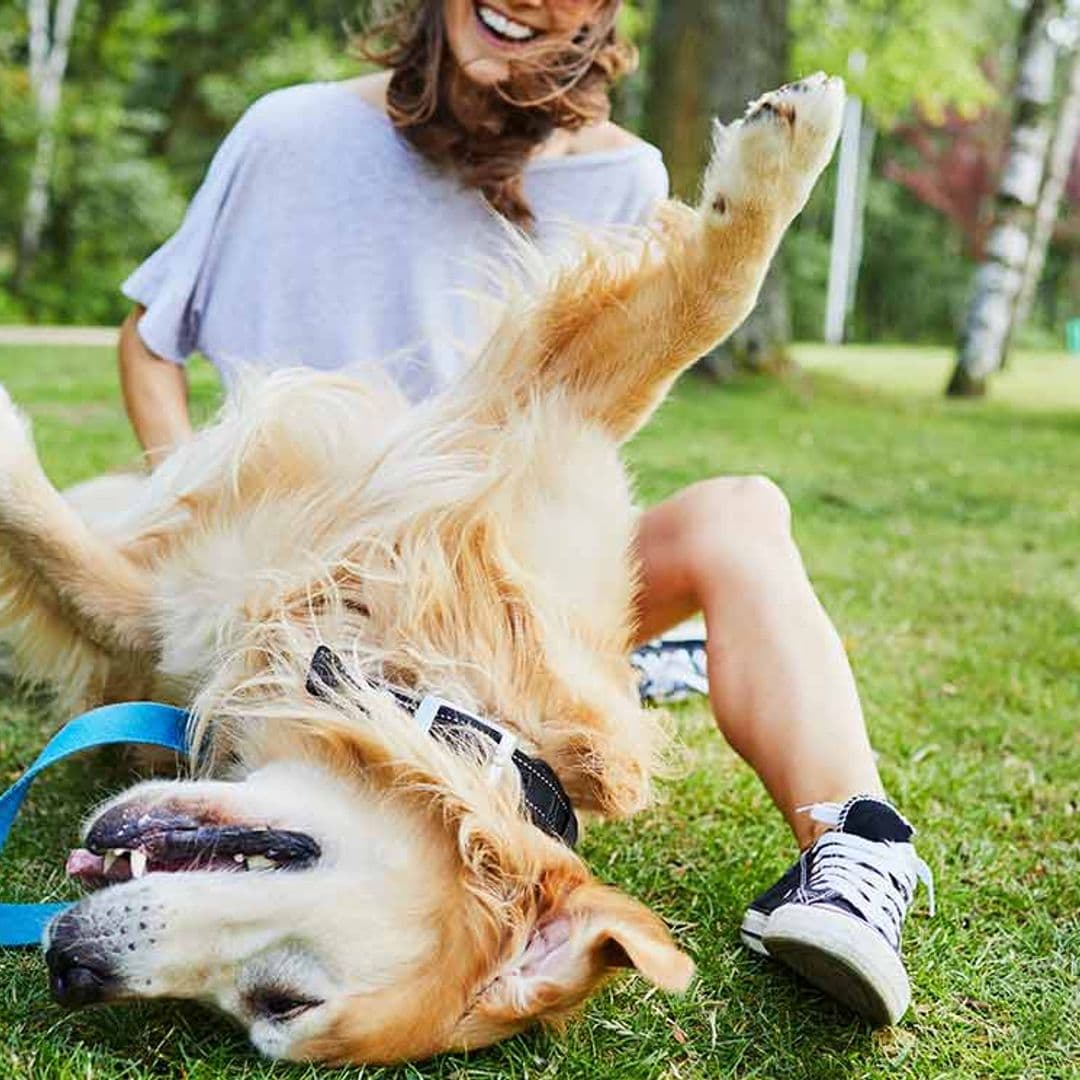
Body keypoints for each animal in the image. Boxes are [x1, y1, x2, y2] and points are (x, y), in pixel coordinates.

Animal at [0, 76, 842, 1062]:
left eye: (275, 1003)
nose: (72, 968)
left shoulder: (154, 621)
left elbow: (54, 554)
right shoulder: (539, 425)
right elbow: (703, 309)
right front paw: (785, 152)